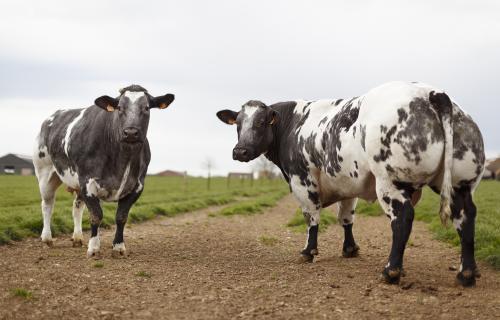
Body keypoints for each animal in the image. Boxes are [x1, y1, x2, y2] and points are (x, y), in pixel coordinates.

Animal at [33, 84, 174, 258]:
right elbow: (96, 215)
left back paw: (77, 238)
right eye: (119, 107)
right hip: (45, 173)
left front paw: (118, 247)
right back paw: (47, 238)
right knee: (47, 204)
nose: (131, 132)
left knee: (76, 207)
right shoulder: (87, 181)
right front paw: (94, 248)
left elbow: (121, 217)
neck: (122, 159)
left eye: (147, 108)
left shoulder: (137, 185)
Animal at [218, 81, 484, 286]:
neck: (293, 125)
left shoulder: (302, 180)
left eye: (261, 122)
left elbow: (311, 217)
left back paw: (391, 271)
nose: (240, 151)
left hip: (390, 181)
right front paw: (350, 249)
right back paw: (466, 273)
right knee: (466, 216)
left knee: (403, 218)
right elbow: (346, 218)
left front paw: (308, 251)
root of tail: (432, 92)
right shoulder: (346, 182)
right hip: (460, 184)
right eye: (238, 124)